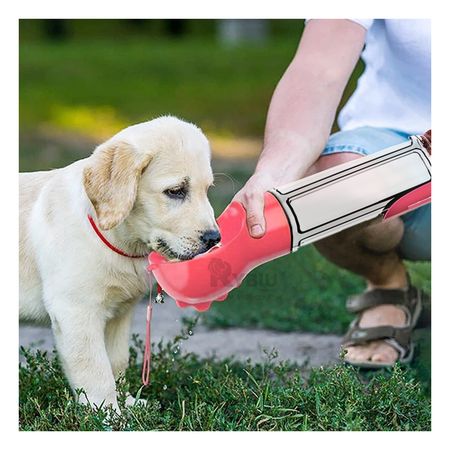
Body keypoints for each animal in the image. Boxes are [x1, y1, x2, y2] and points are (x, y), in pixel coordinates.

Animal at [19, 117, 220, 412]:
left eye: (207, 191)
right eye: (176, 191)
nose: (215, 238)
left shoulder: (119, 314)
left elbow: (116, 361)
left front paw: (127, 403)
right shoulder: (75, 311)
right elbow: (95, 369)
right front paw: (108, 413)